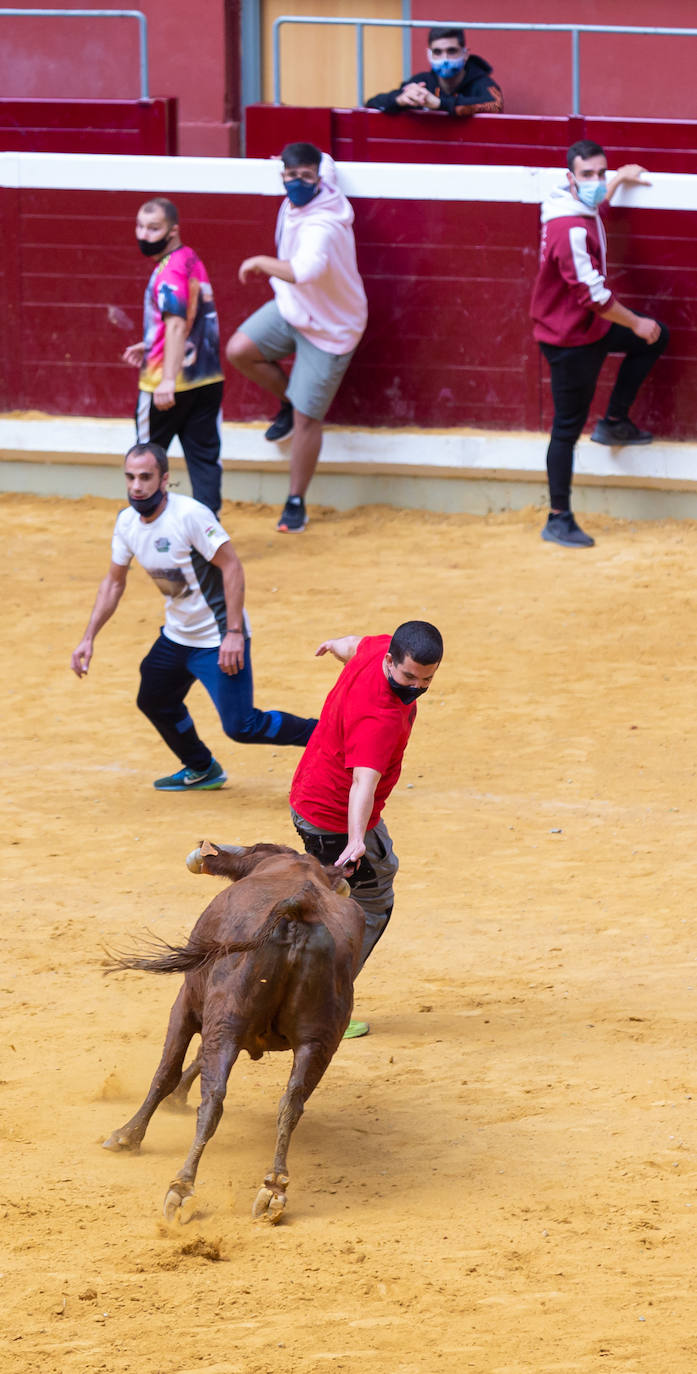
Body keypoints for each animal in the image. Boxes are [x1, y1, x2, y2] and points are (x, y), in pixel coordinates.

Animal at [105, 835, 365, 1225]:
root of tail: (300, 908)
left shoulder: (186, 1004)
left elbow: (165, 1071)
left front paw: (127, 1136)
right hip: (318, 1042)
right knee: (291, 1105)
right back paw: (273, 1189)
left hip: (225, 1023)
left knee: (212, 1102)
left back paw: (181, 1188)